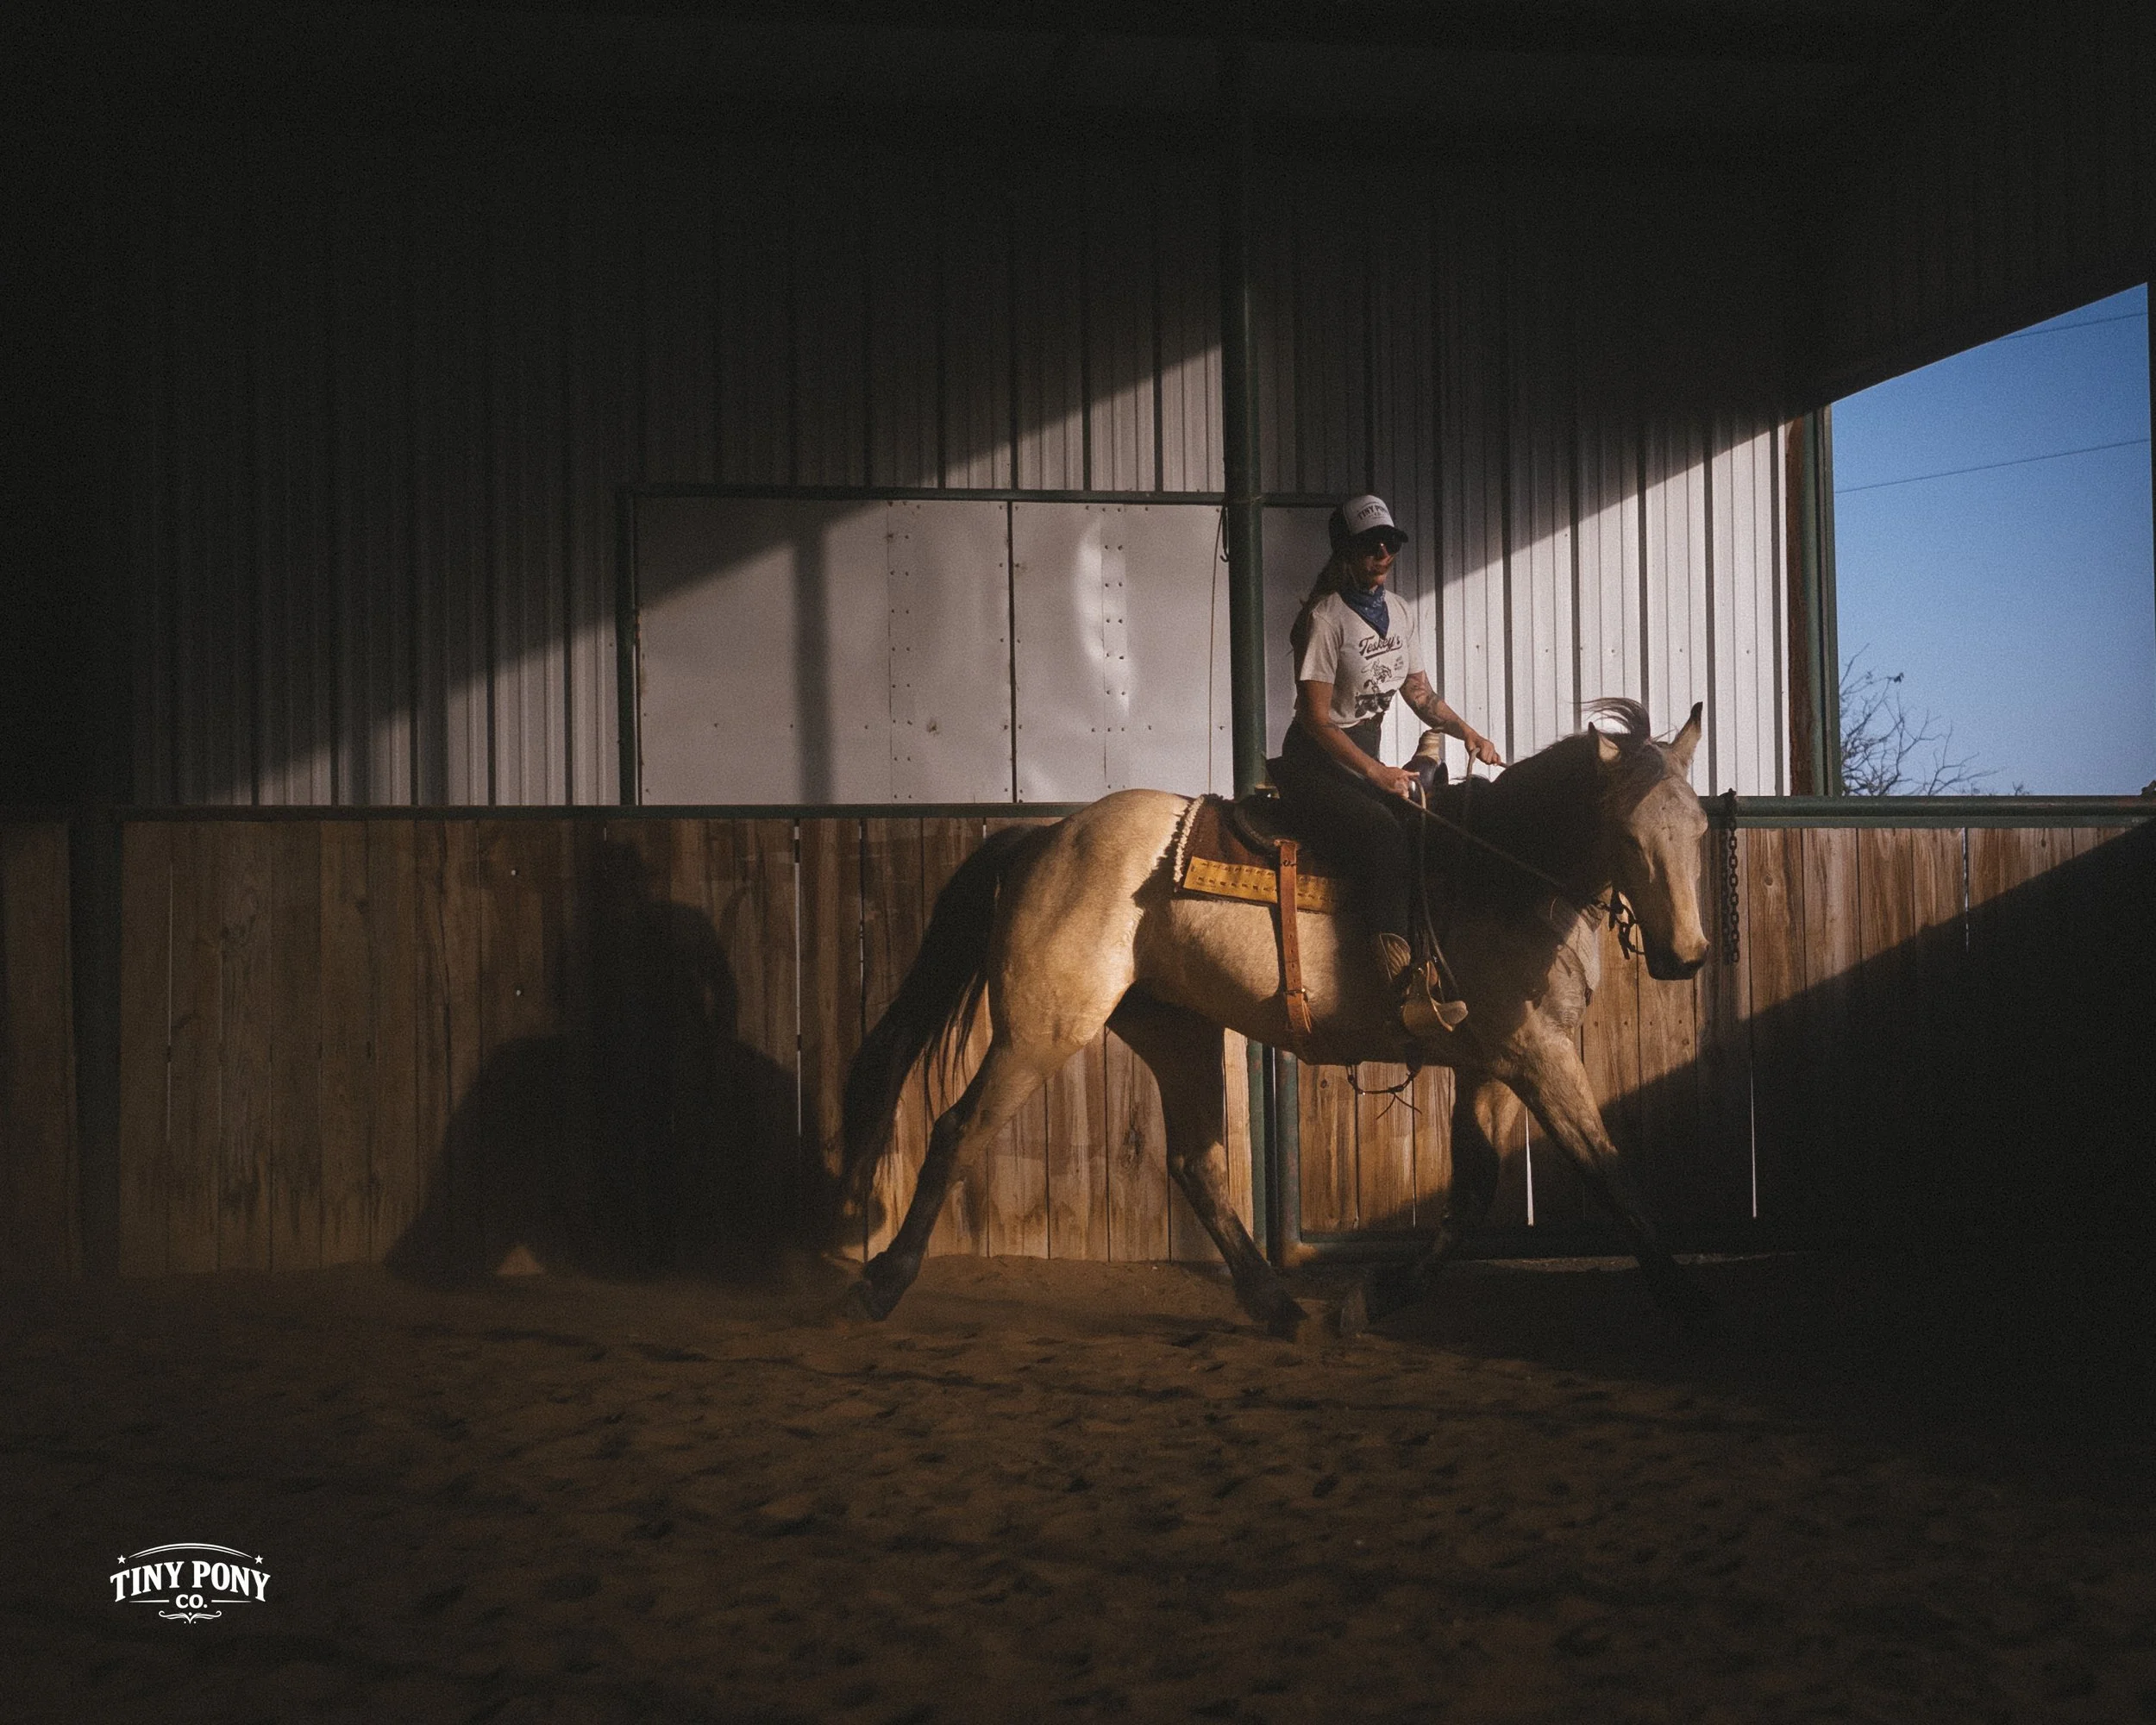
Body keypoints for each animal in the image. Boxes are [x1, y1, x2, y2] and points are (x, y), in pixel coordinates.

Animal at [840, 698, 1713, 1336]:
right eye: (1628, 834)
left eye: (1701, 829)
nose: (1687, 955)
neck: (1504, 871)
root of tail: (1047, 835)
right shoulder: (1537, 1054)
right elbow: (1607, 1168)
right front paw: (1680, 1294)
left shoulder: (1492, 1063)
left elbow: (1472, 1192)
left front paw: (1377, 1298)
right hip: (1042, 1026)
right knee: (960, 1128)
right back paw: (882, 1284)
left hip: (1176, 1030)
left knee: (1197, 1164)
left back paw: (1278, 1305)